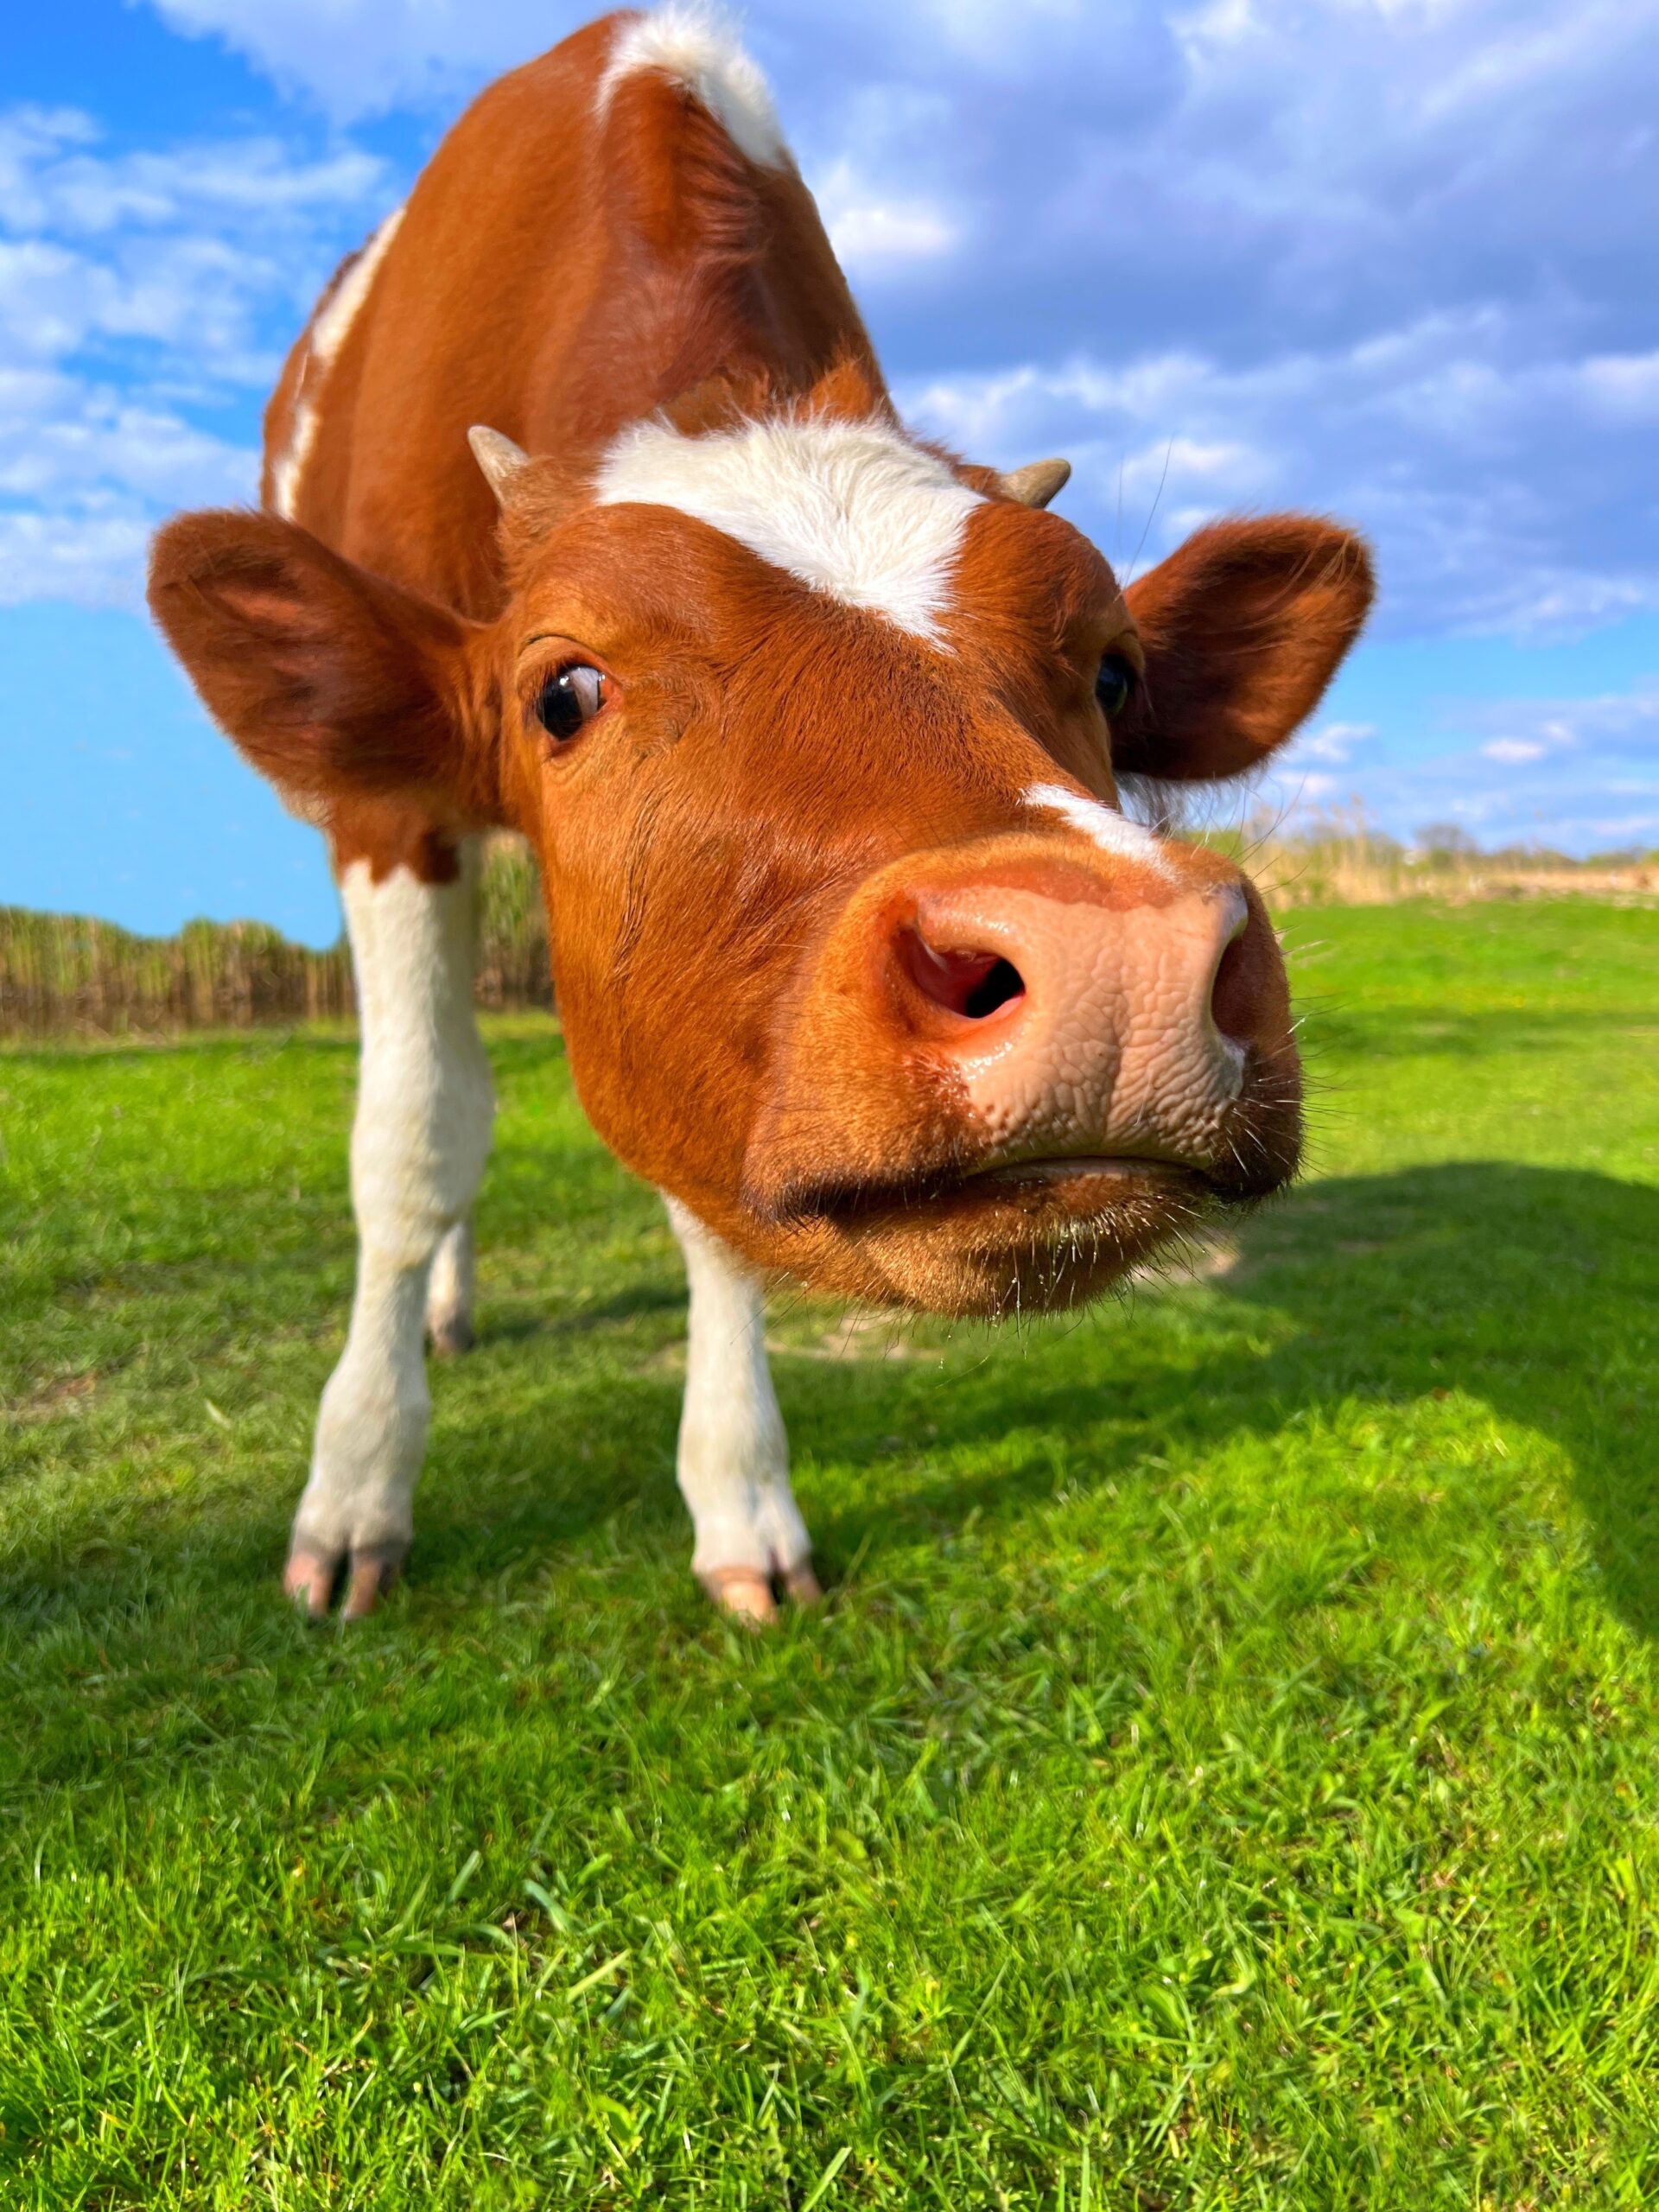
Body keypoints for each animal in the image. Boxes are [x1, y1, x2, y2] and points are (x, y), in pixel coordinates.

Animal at [148, 5, 1372, 1624]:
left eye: (1113, 670)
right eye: (564, 691)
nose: (1115, 967)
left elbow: (701, 1194)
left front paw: (740, 1497)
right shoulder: (385, 810)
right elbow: (412, 1142)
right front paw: (355, 1491)